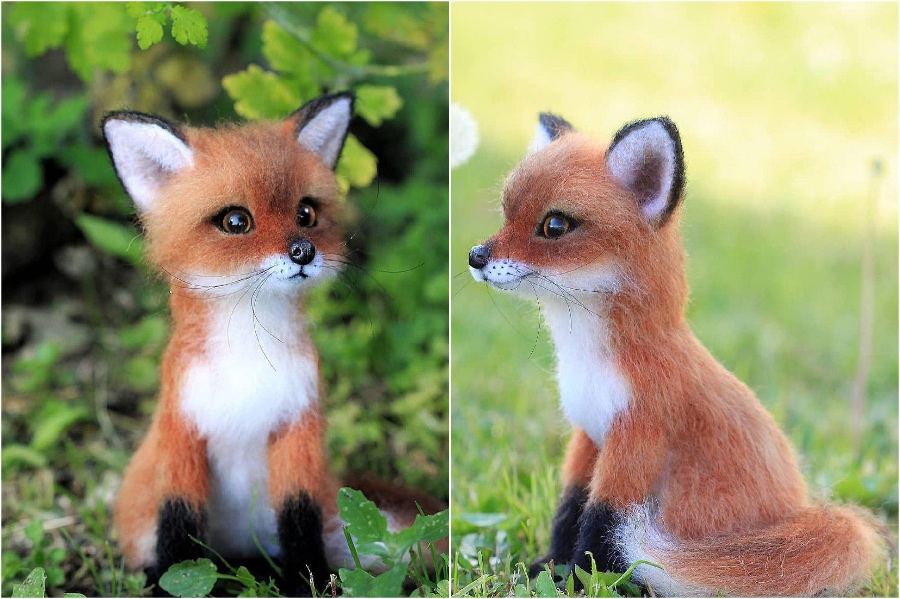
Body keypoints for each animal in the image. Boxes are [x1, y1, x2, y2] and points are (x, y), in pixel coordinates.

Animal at [102, 93, 443, 596]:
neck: (250, 362)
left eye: (306, 214)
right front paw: (168, 585)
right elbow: (178, 535)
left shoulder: (298, 433)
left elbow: (299, 524)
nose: (303, 251)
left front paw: (306, 583)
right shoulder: (181, 436)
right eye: (236, 221)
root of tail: (241, 550)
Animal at [467, 112, 885, 596]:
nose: (475, 256)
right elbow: (568, 509)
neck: (591, 364)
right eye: (506, 213)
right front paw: (547, 567)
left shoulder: (637, 438)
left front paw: (574, 583)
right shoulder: (588, 434)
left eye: (554, 226)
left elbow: (599, 525)